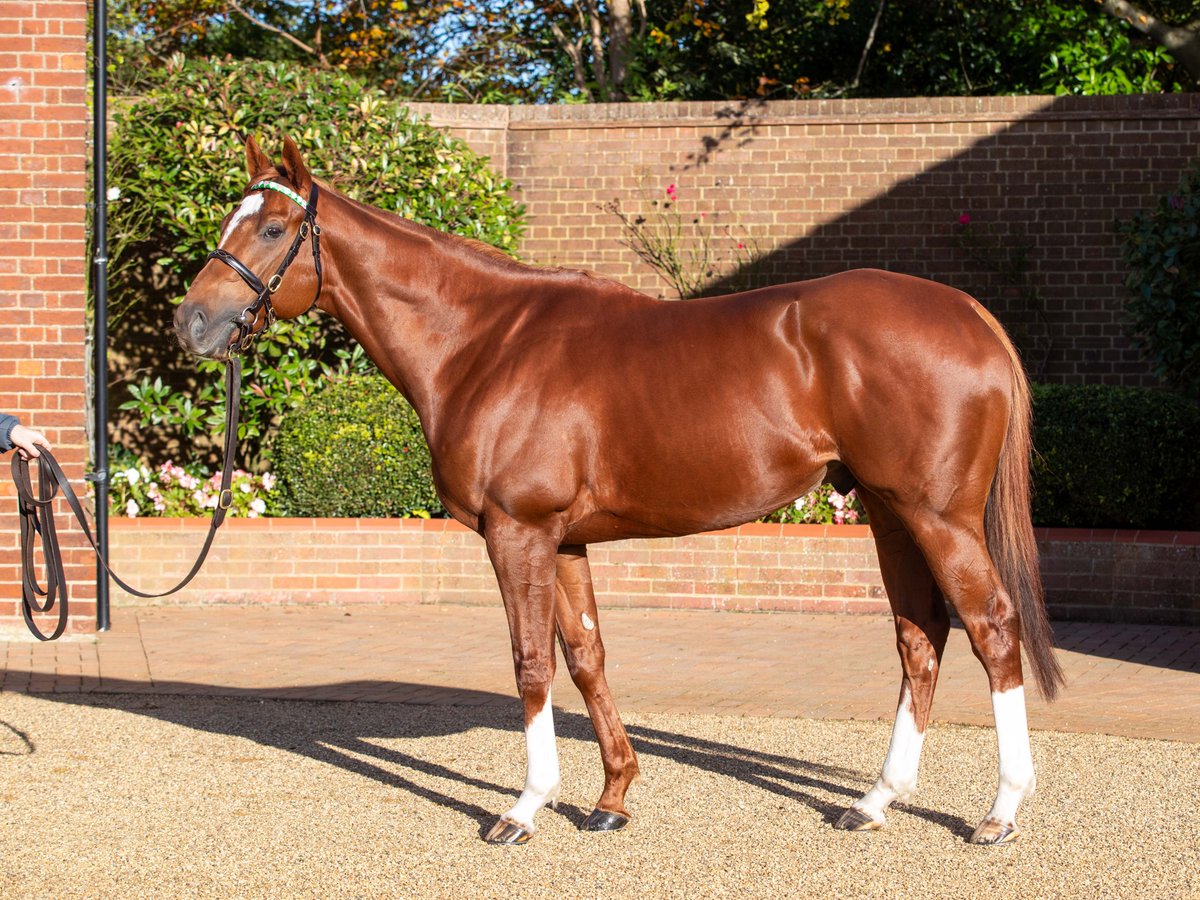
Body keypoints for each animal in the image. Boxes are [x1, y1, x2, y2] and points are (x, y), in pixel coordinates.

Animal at [175, 136, 1064, 846]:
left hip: (937, 516)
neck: (482, 342)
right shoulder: (564, 539)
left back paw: (1000, 812)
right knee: (921, 637)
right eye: (229, 222)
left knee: (992, 629)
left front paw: (525, 808)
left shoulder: (517, 531)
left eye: (273, 228)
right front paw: (611, 798)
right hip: (887, 511)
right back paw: (874, 801)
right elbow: (587, 657)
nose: (193, 324)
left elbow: (532, 663)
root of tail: (971, 314)